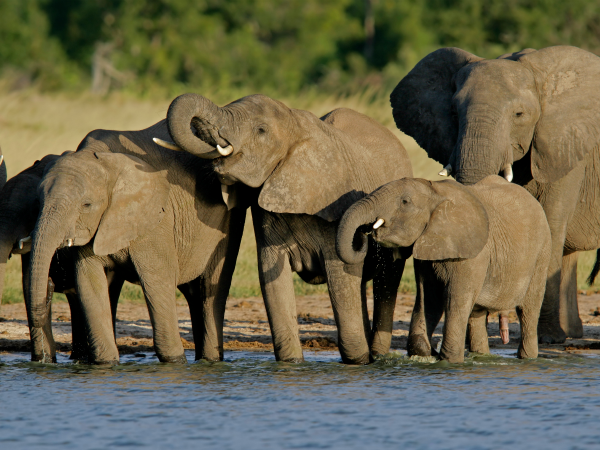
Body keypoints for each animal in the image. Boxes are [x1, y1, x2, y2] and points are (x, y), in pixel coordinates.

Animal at [25, 121, 246, 364]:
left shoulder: (155, 219)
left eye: (86, 205)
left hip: (230, 219)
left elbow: (158, 279)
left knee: (210, 288)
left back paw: (210, 361)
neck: (104, 160)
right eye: (38, 201)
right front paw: (106, 363)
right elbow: (89, 282)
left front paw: (175, 362)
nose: (49, 286)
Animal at [156, 93, 412, 364]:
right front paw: (292, 363)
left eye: (261, 130)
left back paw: (378, 355)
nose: (363, 235)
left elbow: (341, 275)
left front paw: (357, 362)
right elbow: (272, 278)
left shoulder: (336, 203)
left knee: (387, 281)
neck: (296, 124)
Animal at [336, 176, 552, 362]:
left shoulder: (473, 254)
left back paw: (527, 358)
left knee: (528, 308)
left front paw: (449, 361)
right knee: (476, 313)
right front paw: (427, 353)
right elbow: (429, 298)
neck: (437, 192)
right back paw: (482, 358)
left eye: (405, 202)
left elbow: (455, 299)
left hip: (542, 253)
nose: (365, 233)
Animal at [390, 45, 600, 342]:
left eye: (519, 115)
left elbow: (550, 221)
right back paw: (571, 333)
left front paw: (547, 338)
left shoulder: (564, 147)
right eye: (453, 113)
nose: (501, 328)